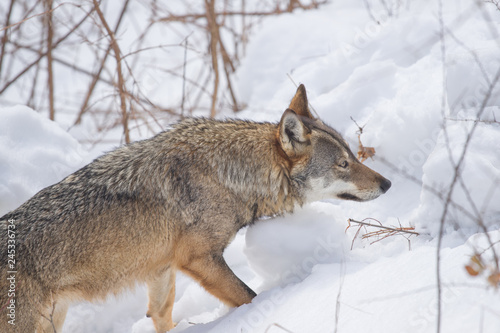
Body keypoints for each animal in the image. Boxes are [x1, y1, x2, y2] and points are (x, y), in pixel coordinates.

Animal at [0, 84, 390, 330]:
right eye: (343, 165)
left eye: (354, 157)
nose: (387, 184)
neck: (228, 175)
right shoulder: (199, 259)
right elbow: (250, 297)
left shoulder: (162, 268)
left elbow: (161, 316)